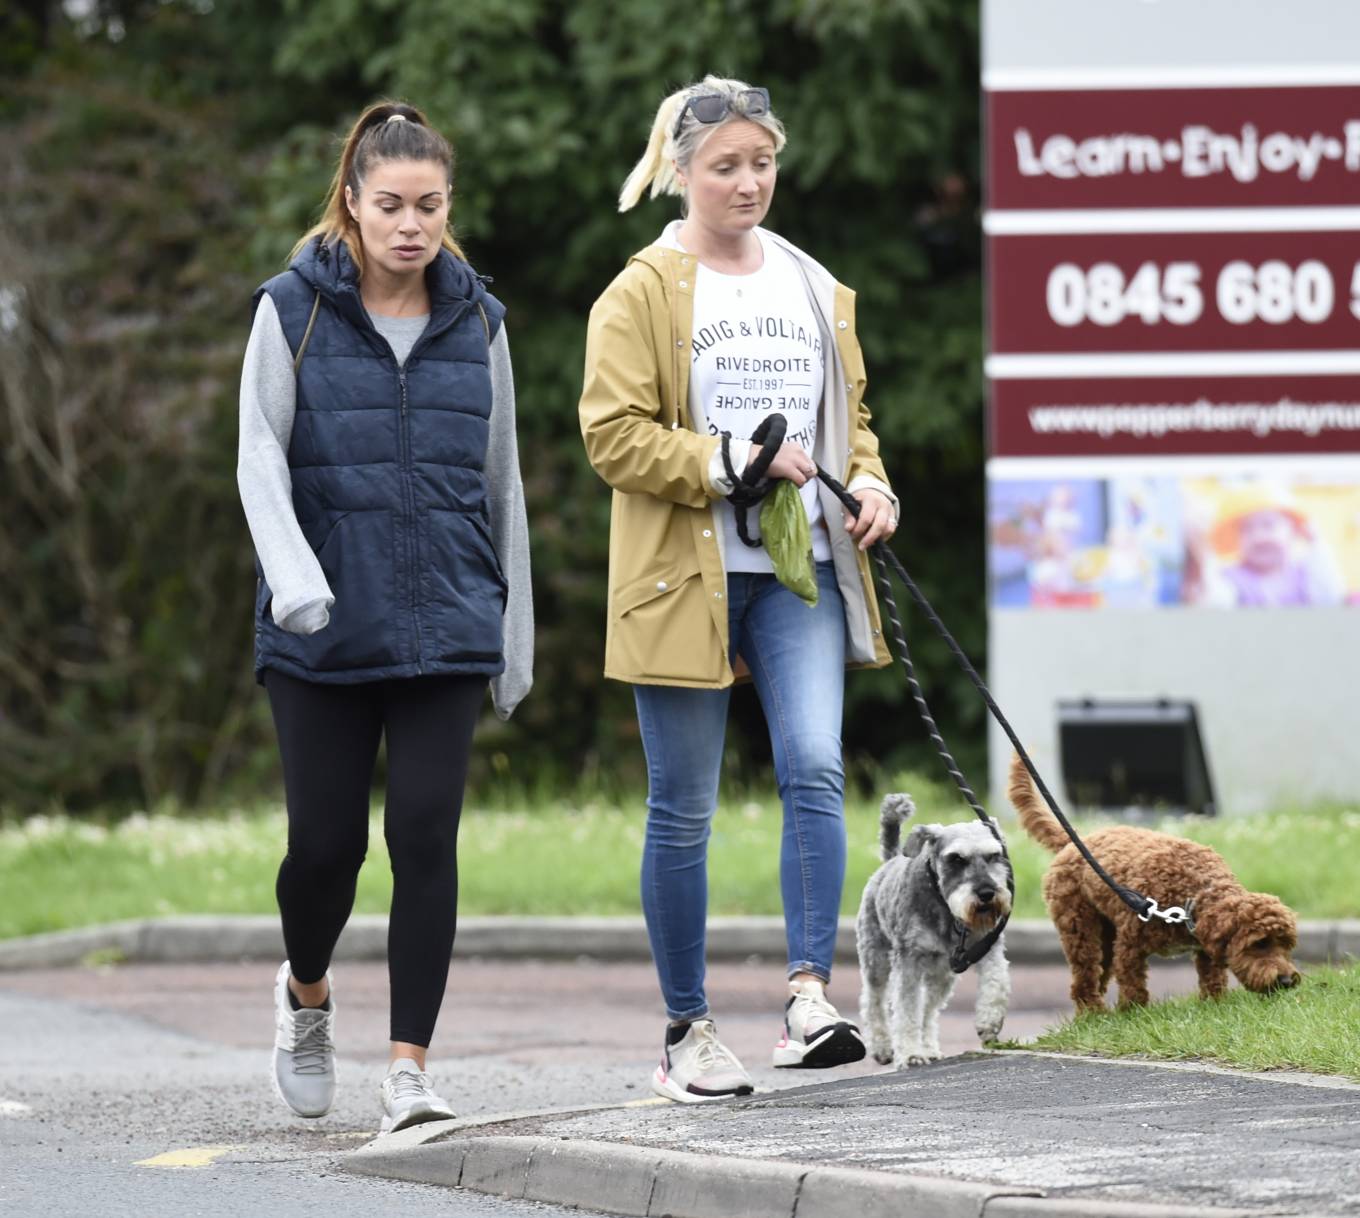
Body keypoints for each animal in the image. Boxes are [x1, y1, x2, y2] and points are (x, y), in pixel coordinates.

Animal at [859, 788, 1011, 1065]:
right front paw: (910, 1054)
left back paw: (928, 1047)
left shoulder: (988, 948)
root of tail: (890, 861)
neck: (947, 910)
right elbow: (907, 1009)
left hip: (942, 975)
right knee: (873, 1000)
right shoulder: (908, 961)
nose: (986, 893)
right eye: (956, 859)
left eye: (993, 856)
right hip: (876, 958)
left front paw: (989, 1022)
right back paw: (882, 1047)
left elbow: (996, 982)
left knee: (929, 1011)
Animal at [1006, 755, 1300, 1011]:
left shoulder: (1206, 949)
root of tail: (1073, 842)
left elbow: (1212, 977)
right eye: (1260, 943)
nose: (1286, 980)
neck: (1192, 896)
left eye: (1286, 944)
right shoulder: (1130, 945)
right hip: (1078, 925)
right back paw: (1093, 1013)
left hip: (1105, 931)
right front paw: (1132, 1014)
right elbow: (1132, 983)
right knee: (1085, 974)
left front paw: (1214, 1005)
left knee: (1098, 972)